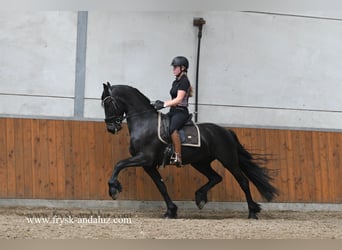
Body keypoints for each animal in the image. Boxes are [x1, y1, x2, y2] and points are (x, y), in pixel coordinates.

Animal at [101, 82, 278, 219]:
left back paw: (252, 212)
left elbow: (119, 164)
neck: (144, 122)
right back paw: (200, 197)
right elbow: (161, 186)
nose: (110, 128)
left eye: (108, 103)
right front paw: (171, 211)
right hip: (200, 163)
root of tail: (226, 131)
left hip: (228, 160)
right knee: (216, 177)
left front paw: (113, 189)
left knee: (243, 181)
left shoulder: (144, 157)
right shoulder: (148, 165)